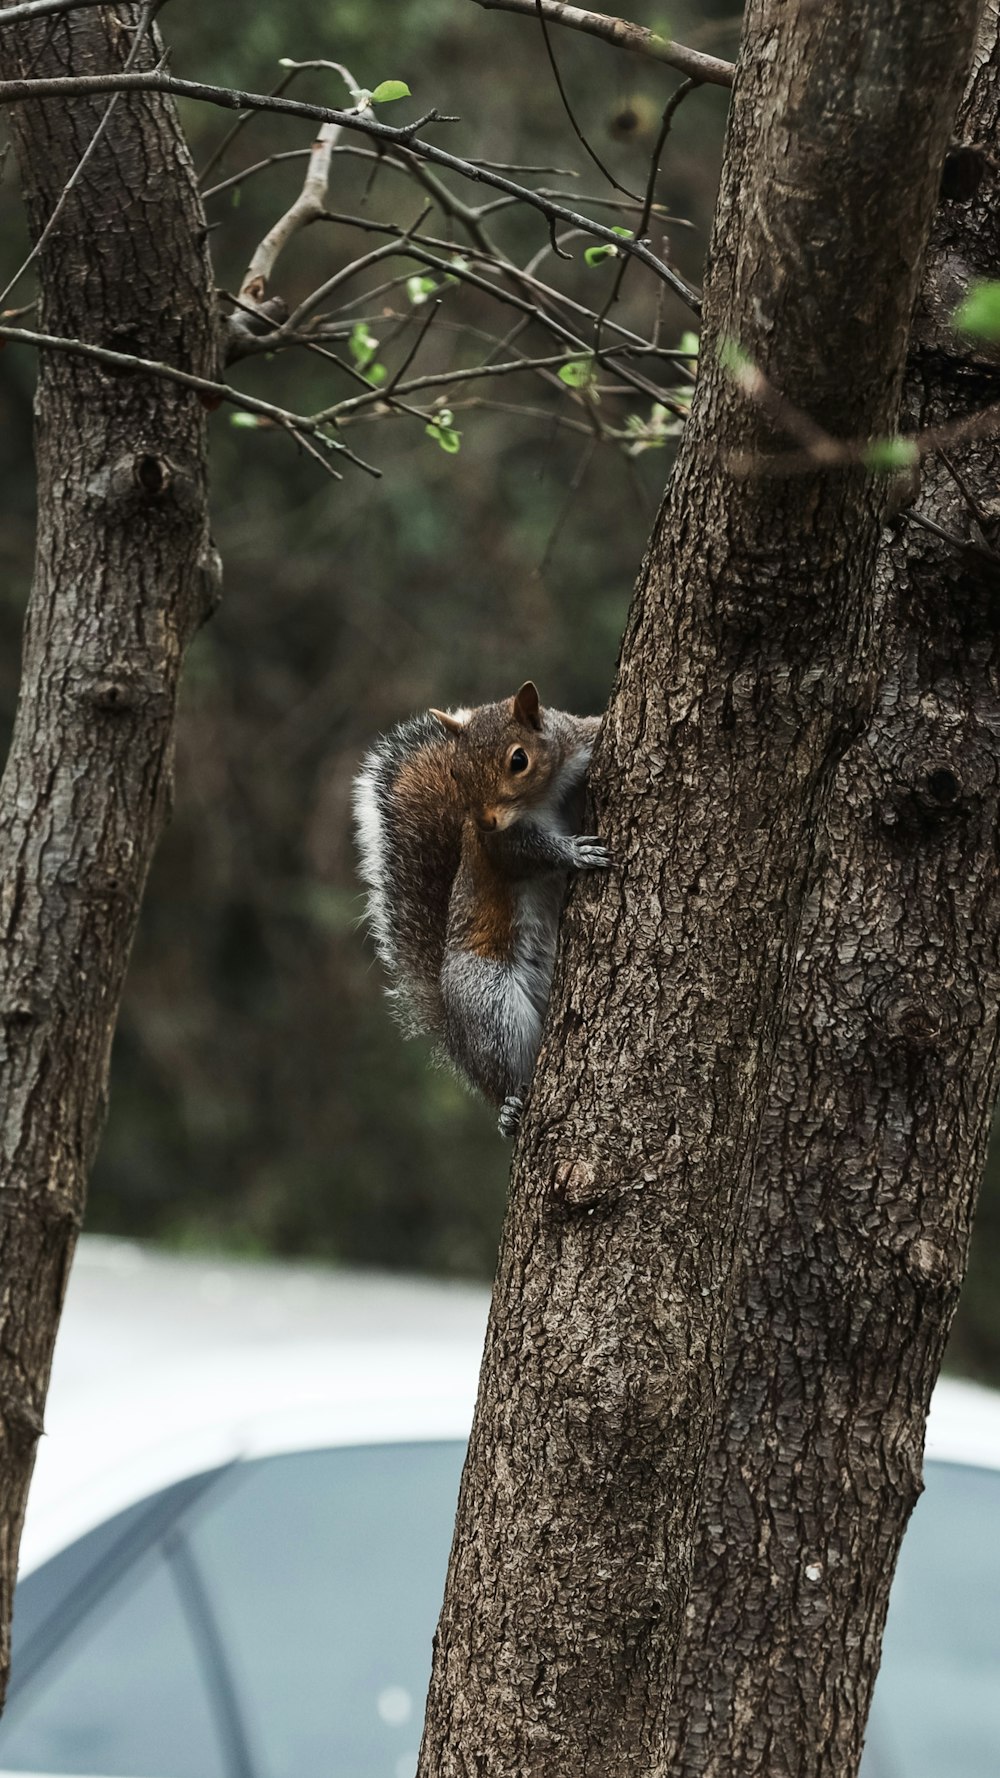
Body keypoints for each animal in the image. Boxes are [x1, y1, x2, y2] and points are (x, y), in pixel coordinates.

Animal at [350, 682, 608, 1137]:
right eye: (455, 773)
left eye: (518, 760)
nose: (485, 820)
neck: (548, 791)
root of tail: (455, 1037)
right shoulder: (501, 844)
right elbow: (530, 853)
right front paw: (575, 853)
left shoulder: (578, 745)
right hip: (486, 1000)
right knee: (499, 1070)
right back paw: (509, 1108)